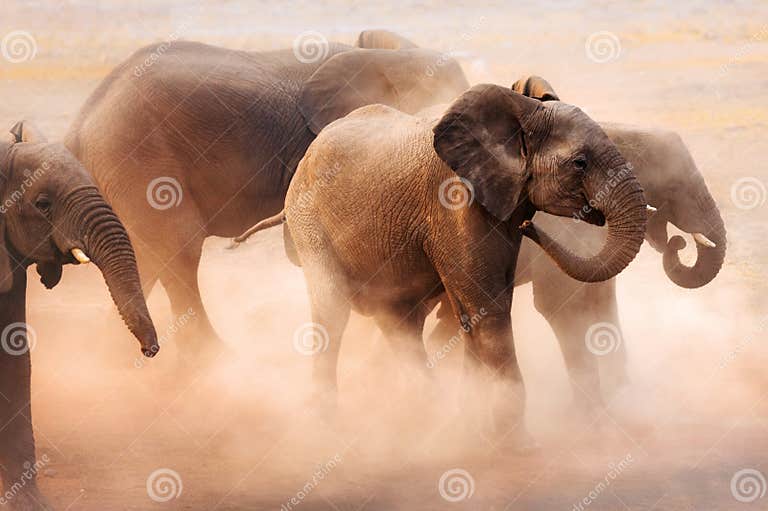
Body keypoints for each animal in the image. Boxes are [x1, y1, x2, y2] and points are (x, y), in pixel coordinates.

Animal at [63, 30, 469, 358]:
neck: (390, 59)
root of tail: (78, 128)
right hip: (142, 165)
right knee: (177, 252)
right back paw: (216, 362)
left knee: (145, 261)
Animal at [237, 84, 649, 440]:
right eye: (580, 163)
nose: (531, 226)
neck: (522, 109)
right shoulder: (454, 203)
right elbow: (488, 307)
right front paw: (516, 442)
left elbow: (479, 310)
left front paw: (477, 427)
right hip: (309, 222)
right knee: (332, 311)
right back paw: (331, 425)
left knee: (399, 321)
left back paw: (426, 416)